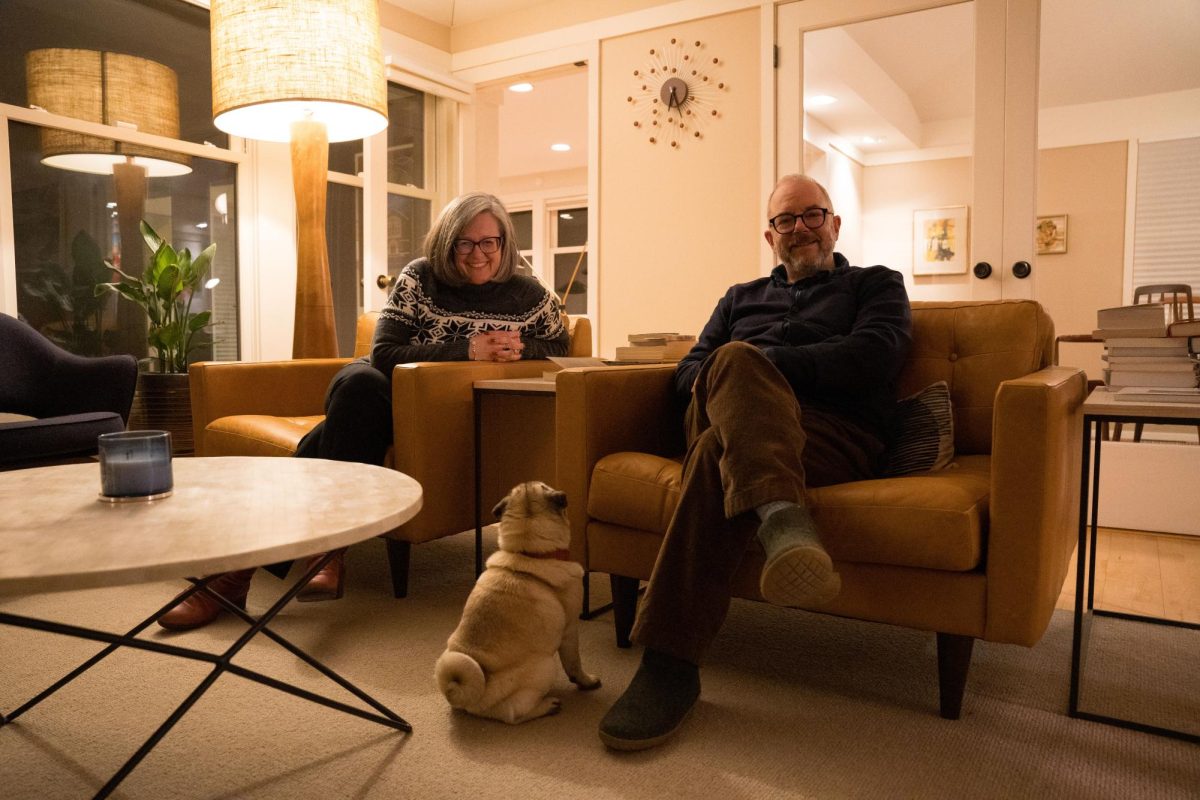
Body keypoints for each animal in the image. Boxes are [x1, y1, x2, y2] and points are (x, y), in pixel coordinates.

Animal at [434, 482, 600, 724]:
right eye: (546, 485)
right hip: (546, 666)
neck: (528, 553)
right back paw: (546, 706)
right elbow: (574, 663)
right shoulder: (570, 630)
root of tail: (465, 696)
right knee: (513, 714)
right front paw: (587, 682)